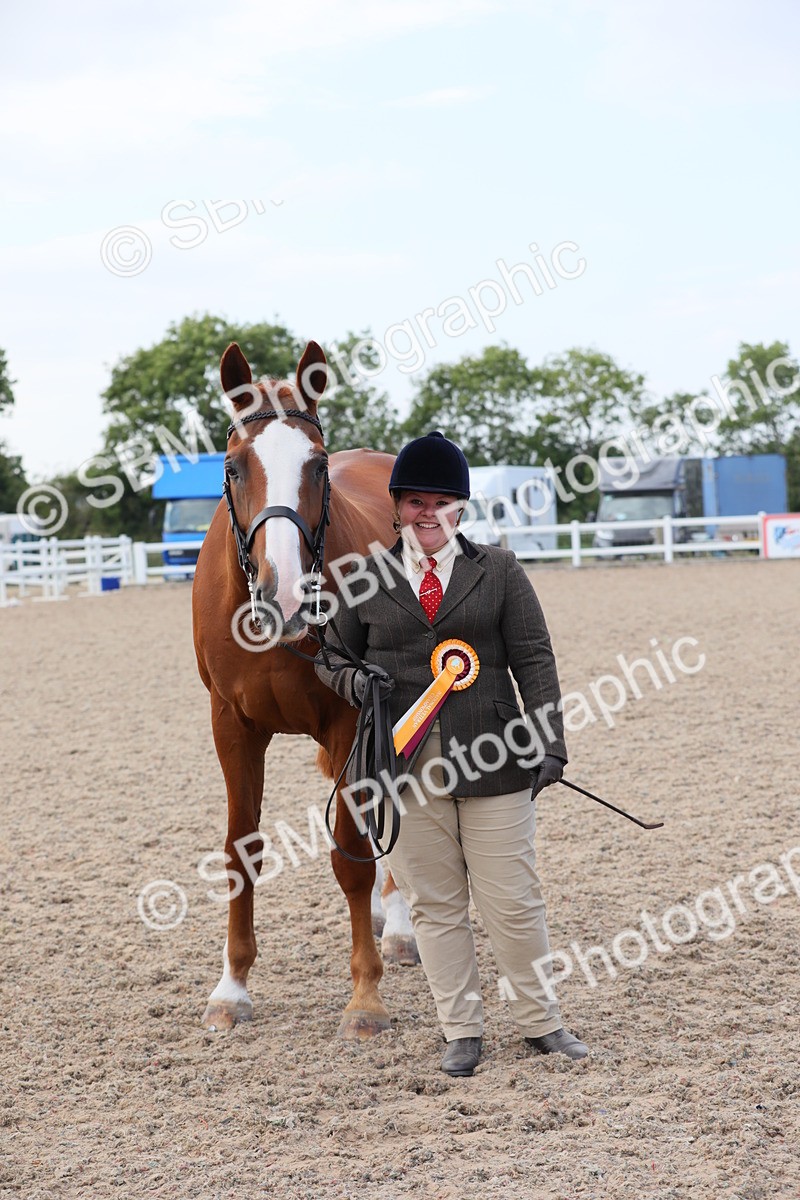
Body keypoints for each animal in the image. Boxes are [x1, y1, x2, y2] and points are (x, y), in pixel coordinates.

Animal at [192, 339, 418, 1039]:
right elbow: (240, 852)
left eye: (317, 467)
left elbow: (349, 856)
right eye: (234, 468)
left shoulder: (351, 717)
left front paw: (365, 997)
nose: (286, 595)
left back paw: (400, 927)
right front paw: (232, 989)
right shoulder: (231, 724)